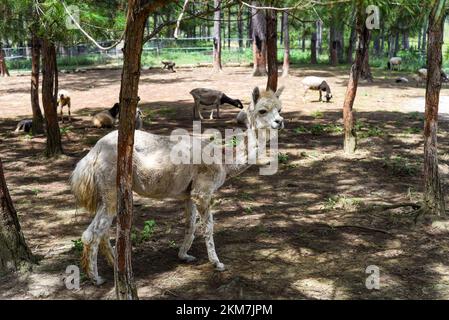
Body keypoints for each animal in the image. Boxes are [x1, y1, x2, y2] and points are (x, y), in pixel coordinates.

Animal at [70, 85, 284, 284]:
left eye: (280, 109)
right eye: (262, 110)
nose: (280, 121)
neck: (223, 159)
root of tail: (94, 152)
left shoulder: (190, 193)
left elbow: (190, 225)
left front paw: (184, 255)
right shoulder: (203, 191)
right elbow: (208, 227)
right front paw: (217, 263)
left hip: (108, 193)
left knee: (103, 232)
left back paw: (116, 264)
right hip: (111, 188)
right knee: (91, 234)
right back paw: (96, 278)